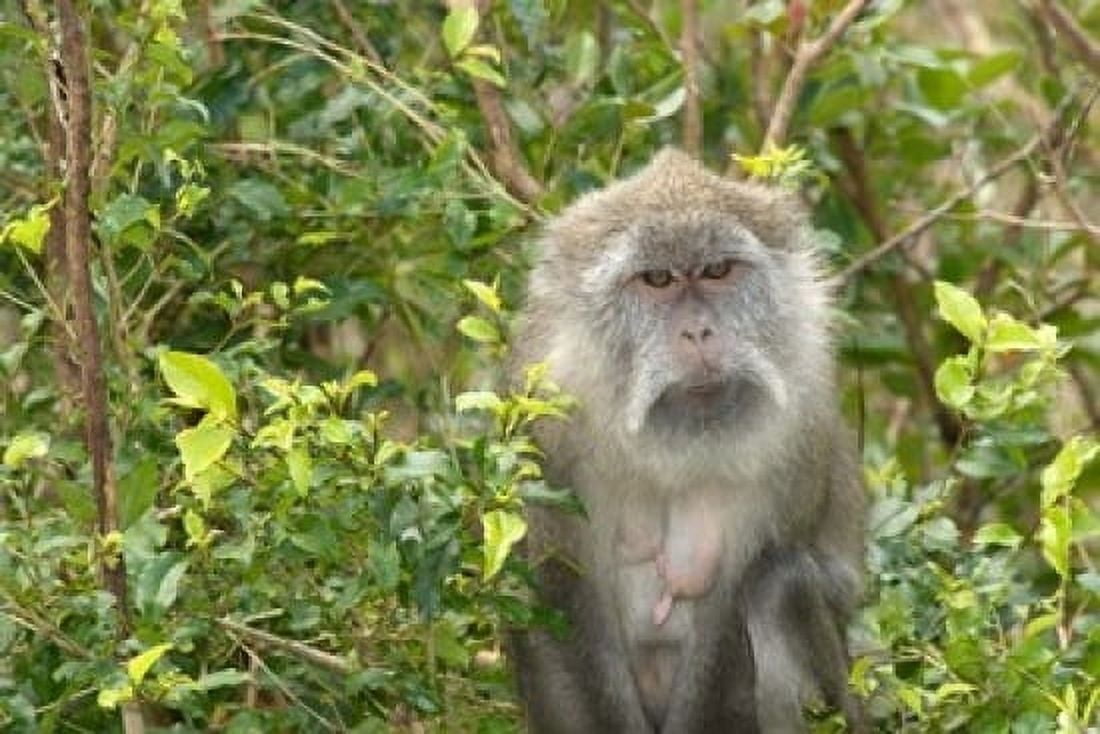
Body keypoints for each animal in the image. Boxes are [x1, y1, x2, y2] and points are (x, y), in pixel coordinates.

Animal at [508, 148, 866, 733]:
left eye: (718, 271)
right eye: (657, 279)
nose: (698, 333)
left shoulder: (799, 421)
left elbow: (730, 619)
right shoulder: (546, 416)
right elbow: (558, 593)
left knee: (778, 583)